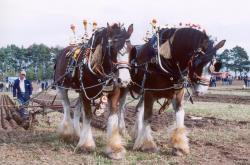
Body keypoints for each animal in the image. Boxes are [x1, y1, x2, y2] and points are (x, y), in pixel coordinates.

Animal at [54, 22, 134, 159]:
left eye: (131, 49)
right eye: (112, 48)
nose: (124, 80)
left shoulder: (114, 94)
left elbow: (113, 116)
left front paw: (115, 148)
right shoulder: (86, 93)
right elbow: (87, 116)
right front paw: (86, 145)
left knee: (76, 111)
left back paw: (77, 134)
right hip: (62, 87)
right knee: (67, 108)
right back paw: (67, 134)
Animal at [118, 27, 226, 155]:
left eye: (215, 65)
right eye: (198, 62)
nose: (201, 91)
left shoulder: (178, 94)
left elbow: (180, 115)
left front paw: (179, 147)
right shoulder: (149, 93)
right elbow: (148, 117)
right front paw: (148, 145)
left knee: (138, 109)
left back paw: (137, 134)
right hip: (124, 86)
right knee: (121, 107)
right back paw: (121, 131)